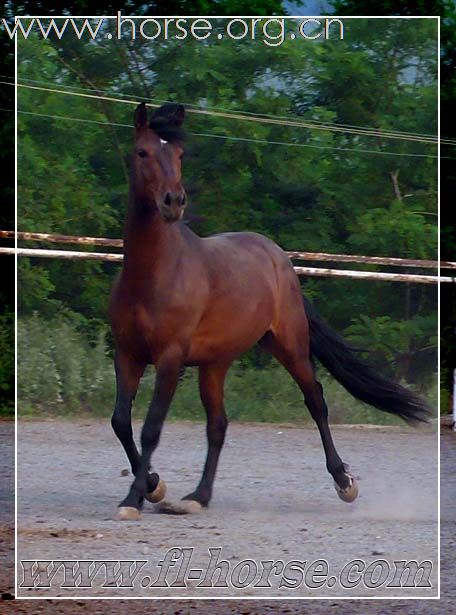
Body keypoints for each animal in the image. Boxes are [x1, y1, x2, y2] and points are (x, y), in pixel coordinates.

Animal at [108, 101, 430, 520]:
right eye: (142, 152)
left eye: (178, 154)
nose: (173, 201)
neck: (155, 275)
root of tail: (279, 257)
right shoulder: (128, 355)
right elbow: (121, 422)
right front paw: (153, 486)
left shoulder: (169, 359)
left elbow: (150, 428)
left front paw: (134, 498)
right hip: (215, 363)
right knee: (218, 424)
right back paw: (198, 497)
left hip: (289, 345)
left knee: (316, 401)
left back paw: (344, 483)